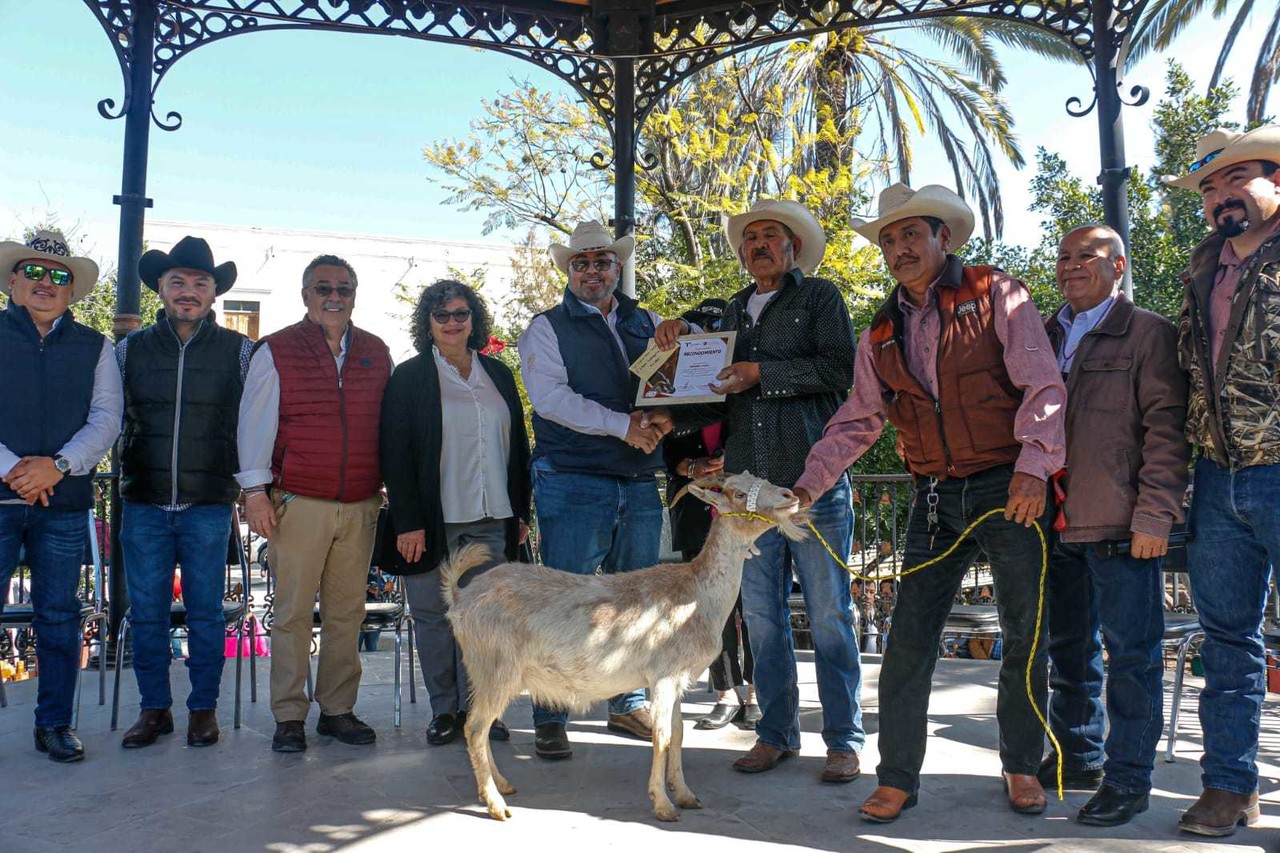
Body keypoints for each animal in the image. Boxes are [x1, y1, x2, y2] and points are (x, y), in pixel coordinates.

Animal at [435, 468, 803, 819]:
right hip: (495, 670)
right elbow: (662, 736)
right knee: (475, 728)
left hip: (486, 674)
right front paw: (663, 805)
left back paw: (501, 785)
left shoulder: (677, 680)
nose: (790, 496)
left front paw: (686, 795)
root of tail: (461, 598)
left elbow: (679, 733)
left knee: (479, 728)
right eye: (738, 493)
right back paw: (496, 805)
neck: (696, 595)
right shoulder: (663, 676)